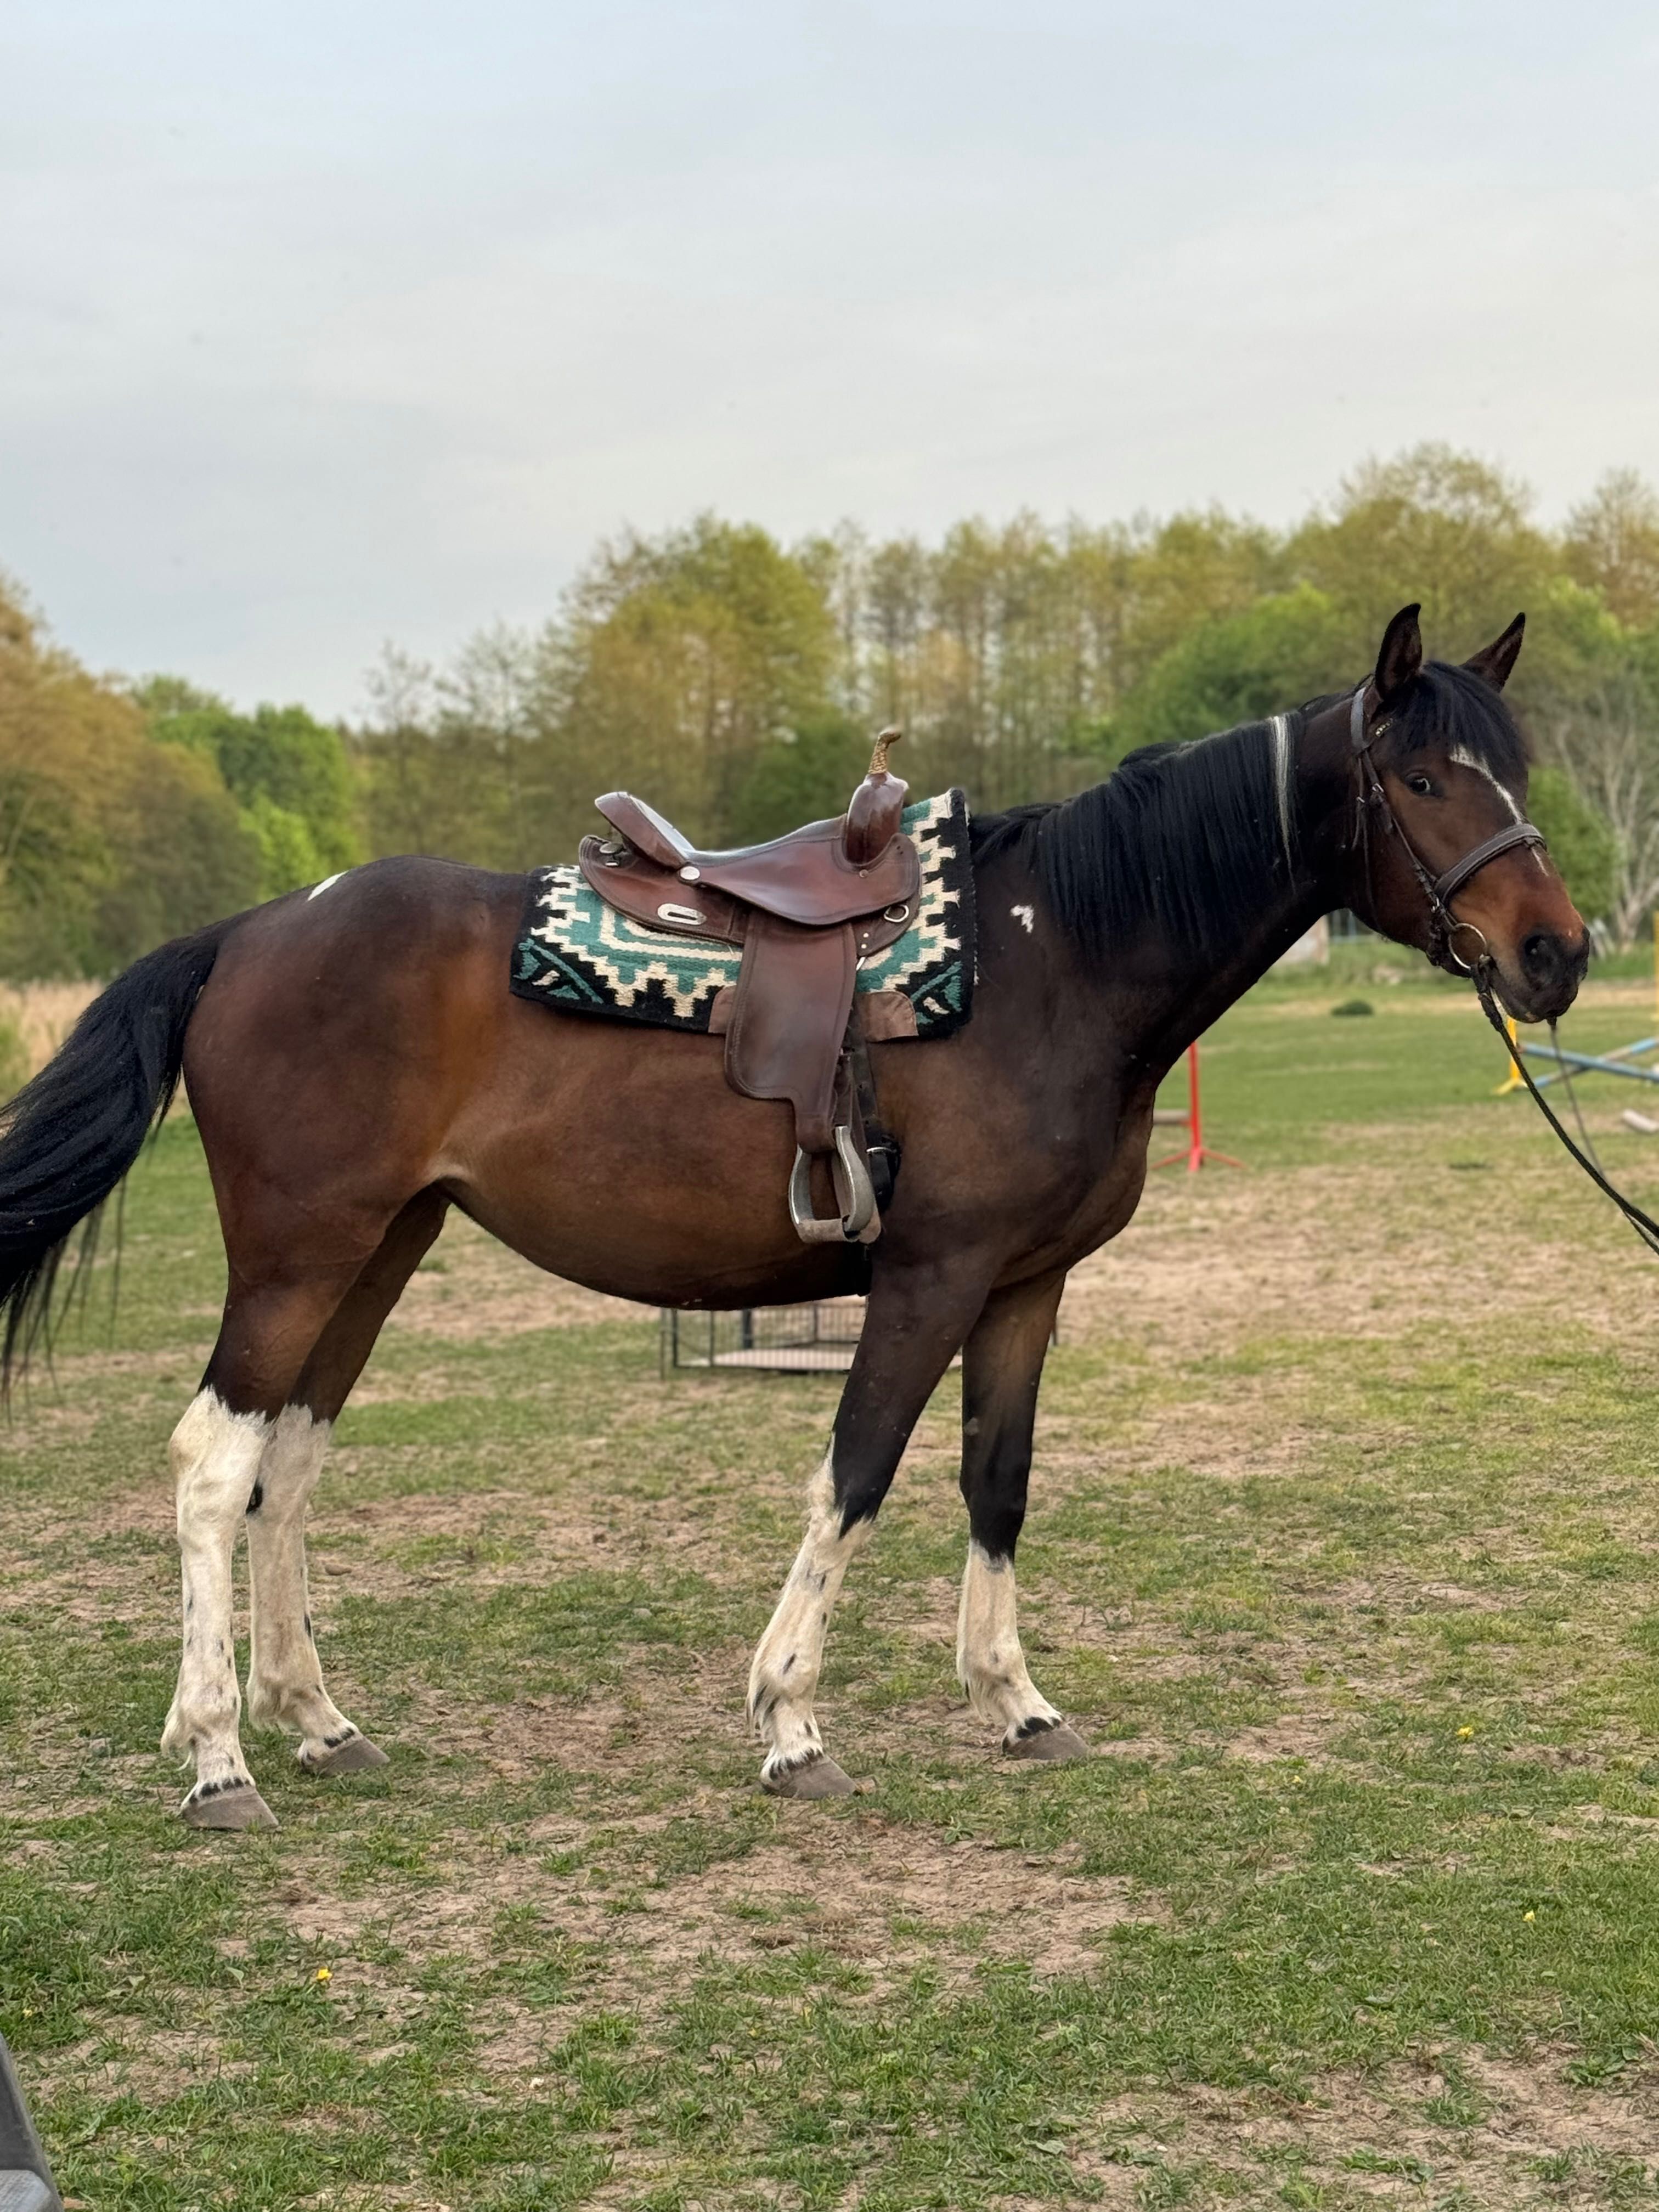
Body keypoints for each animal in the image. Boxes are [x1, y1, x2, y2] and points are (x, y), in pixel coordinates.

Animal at [0, 606, 1593, 1814]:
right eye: (1431, 781)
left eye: (1513, 771)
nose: (1560, 954)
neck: (1054, 960)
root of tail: (251, 932)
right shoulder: (931, 1274)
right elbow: (860, 1471)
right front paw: (790, 1722)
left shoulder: (1027, 1286)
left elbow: (996, 1482)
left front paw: (1015, 1703)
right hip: (298, 1255)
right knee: (213, 1462)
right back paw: (217, 1758)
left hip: (379, 1252)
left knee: (290, 1459)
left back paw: (314, 1721)